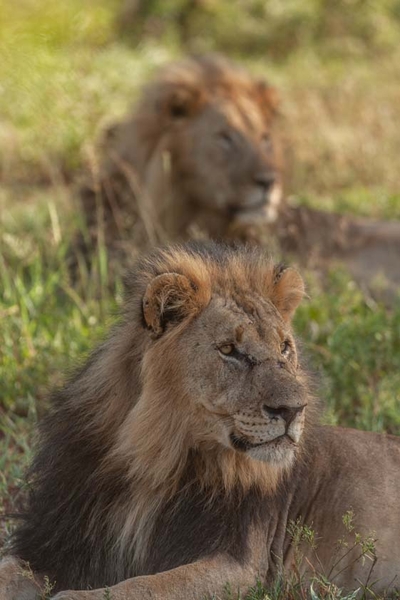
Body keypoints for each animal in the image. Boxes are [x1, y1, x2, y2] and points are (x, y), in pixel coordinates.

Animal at [0, 240, 400, 600]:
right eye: (229, 351)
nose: (294, 409)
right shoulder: (56, 544)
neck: (152, 464)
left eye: (285, 348)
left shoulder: (241, 566)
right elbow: (9, 570)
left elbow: (141, 587)